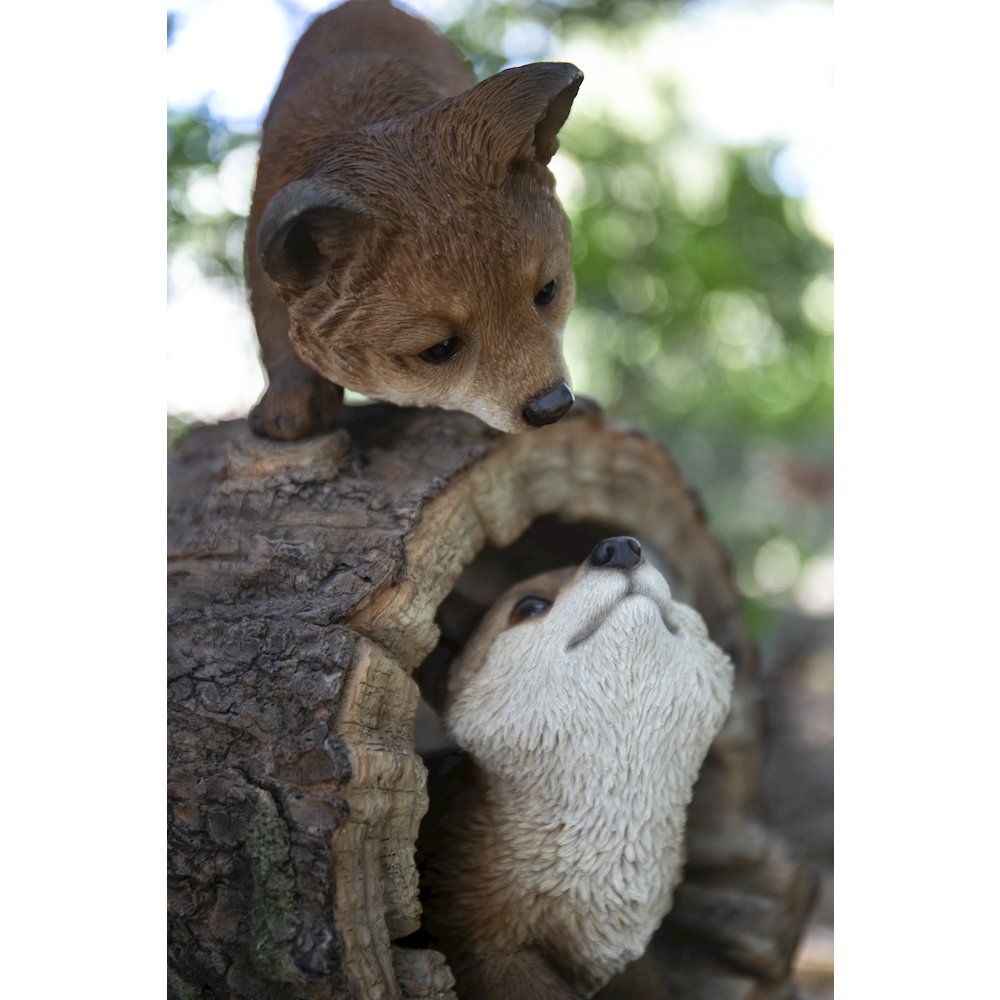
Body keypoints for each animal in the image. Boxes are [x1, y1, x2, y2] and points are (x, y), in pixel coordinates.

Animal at [245, 0, 584, 440]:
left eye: (548, 291)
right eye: (439, 350)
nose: (553, 406)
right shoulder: (260, 238)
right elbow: (273, 330)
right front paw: (289, 409)